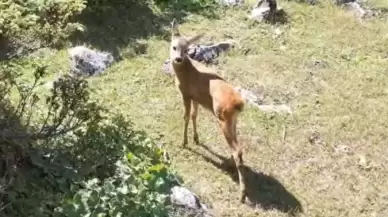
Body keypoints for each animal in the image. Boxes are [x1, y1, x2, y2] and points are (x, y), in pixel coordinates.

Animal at [168, 19, 247, 203]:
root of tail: (238, 103)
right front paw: (196, 139)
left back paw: (242, 194)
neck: (186, 72)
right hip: (233, 120)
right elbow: (194, 116)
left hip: (222, 118)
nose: (178, 58)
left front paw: (184, 142)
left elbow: (185, 117)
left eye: (186, 49)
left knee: (237, 150)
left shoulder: (186, 94)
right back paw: (231, 166)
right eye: (174, 46)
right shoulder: (196, 98)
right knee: (238, 149)